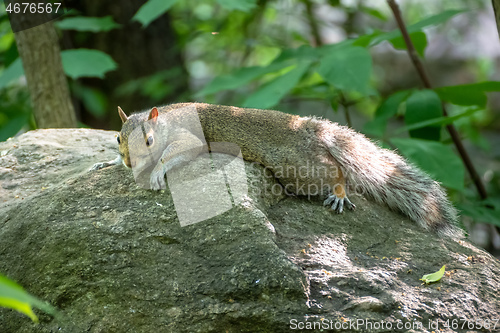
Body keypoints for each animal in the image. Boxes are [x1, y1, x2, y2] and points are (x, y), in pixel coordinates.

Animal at [92, 102, 462, 237]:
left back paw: (339, 193)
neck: (167, 120)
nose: (129, 162)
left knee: (336, 171)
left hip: (299, 167)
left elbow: (178, 153)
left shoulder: (189, 137)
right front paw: (106, 161)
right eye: (117, 137)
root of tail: (314, 132)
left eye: (149, 140)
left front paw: (156, 170)